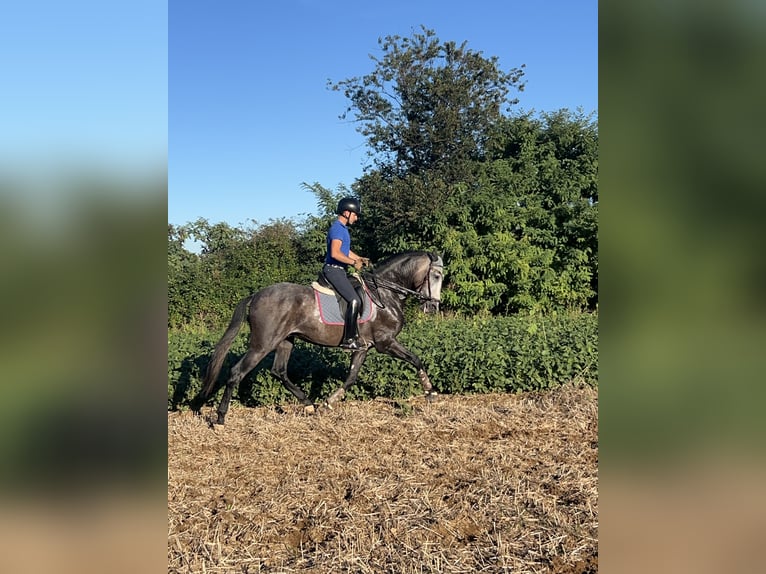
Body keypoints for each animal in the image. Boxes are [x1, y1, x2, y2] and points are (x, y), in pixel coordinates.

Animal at [191, 251, 445, 425]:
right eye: (436, 275)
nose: (433, 307)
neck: (385, 293)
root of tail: (255, 296)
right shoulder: (385, 342)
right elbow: (415, 359)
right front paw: (430, 391)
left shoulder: (363, 347)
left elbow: (351, 378)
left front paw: (328, 403)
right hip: (262, 344)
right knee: (237, 372)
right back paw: (221, 418)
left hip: (286, 340)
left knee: (279, 371)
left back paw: (309, 404)